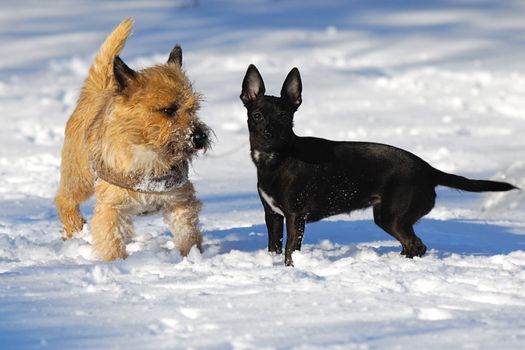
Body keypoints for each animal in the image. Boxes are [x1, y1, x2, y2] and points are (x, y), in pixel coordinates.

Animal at [53, 18, 209, 260]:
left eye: (194, 108)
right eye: (168, 110)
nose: (200, 137)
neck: (148, 154)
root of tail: (97, 92)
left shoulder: (180, 201)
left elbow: (187, 232)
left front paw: (191, 257)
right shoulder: (110, 208)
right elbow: (110, 239)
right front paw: (115, 263)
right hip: (80, 177)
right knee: (64, 199)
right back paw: (74, 228)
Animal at [239, 64, 516, 266]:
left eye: (285, 117)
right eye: (257, 115)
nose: (269, 132)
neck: (275, 160)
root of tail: (428, 169)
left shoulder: (296, 216)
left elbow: (290, 251)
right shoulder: (273, 215)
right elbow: (274, 248)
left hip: (393, 217)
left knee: (417, 245)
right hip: (389, 216)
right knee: (412, 245)